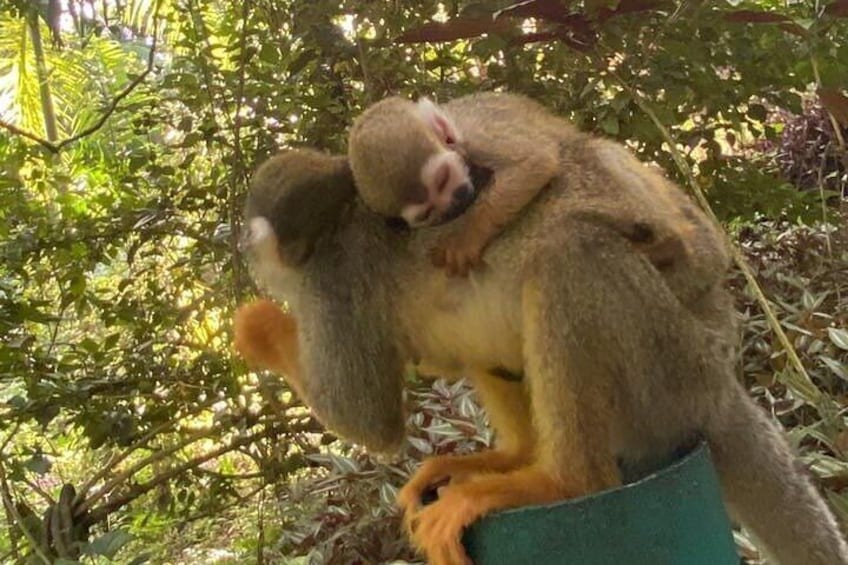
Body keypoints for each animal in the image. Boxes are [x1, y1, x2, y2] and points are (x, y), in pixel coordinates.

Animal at [236, 147, 848, 565]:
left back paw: (563, 481)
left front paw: (256, 326)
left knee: (567, 254)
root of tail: (721, 385)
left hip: (673, 371)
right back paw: (515, 455)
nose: (239, 245)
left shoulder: (328, 289)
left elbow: (366, 418)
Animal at [348, 93, 730, 309]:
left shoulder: (479, 135)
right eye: (429, 212)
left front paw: (467, 239)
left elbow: (535, 162)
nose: (456, 202)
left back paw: (671, 244)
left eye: (443, 180)